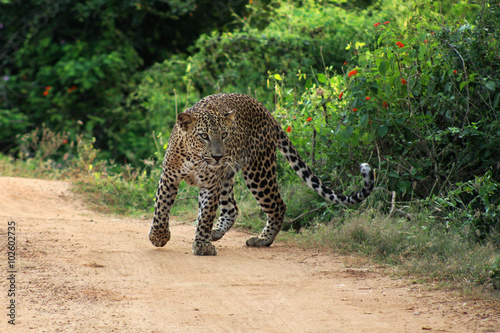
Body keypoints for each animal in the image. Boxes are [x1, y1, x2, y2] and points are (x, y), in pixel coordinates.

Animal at [148, 92, 376, 255]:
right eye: (204, 136)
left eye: (224, 135)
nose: (218, 156)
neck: (196, 158)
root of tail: (266, 111)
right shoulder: (169, 177)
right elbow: (161, 208)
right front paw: (159, 236)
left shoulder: (210, 185)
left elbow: (205, 215)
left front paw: (202, 244)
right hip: (229, 177)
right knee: (232, 208)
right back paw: (217, 232)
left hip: (258, 171)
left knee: (278, 205)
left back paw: (262, 240)